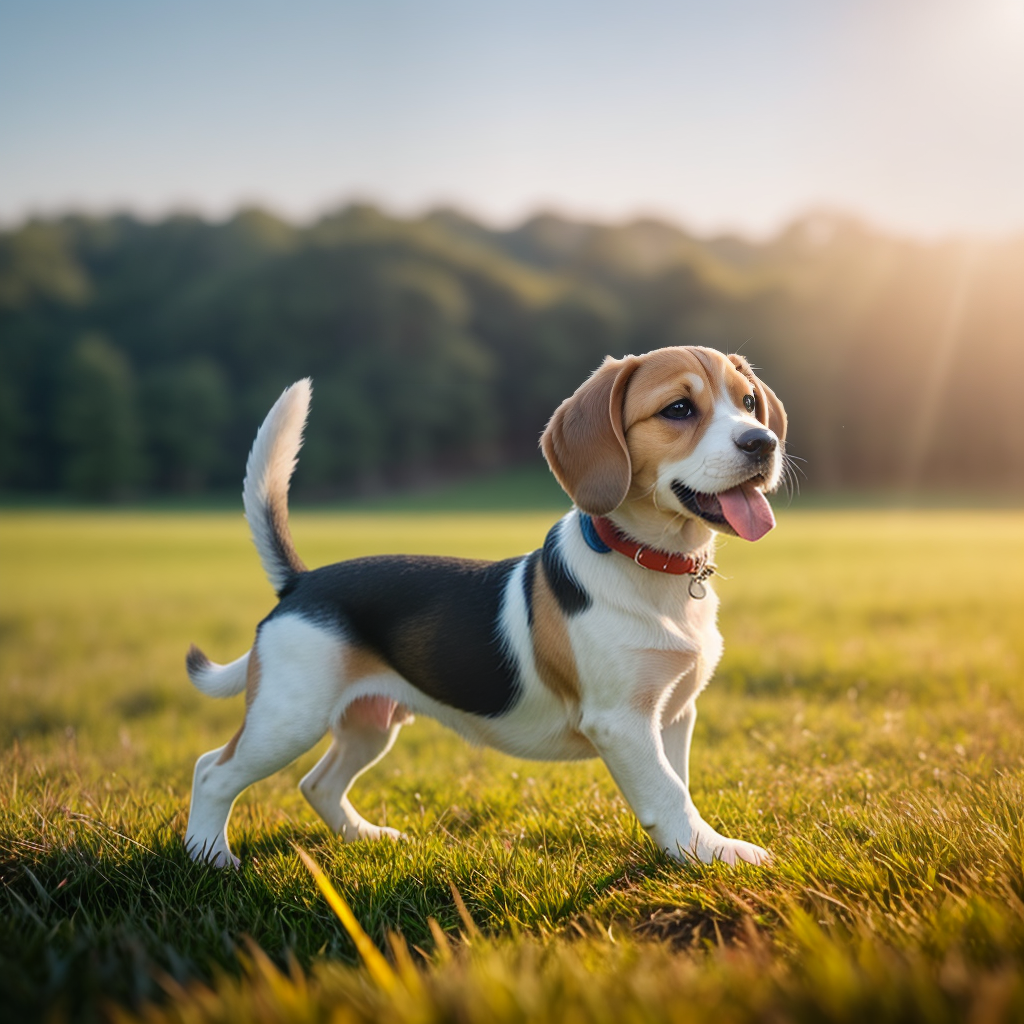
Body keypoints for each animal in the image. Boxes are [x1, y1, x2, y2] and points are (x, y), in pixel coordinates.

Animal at [184, 344, 782, 864]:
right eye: (678, 409)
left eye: (748, 402)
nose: (763, 442)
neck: (654, 564)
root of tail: (301, 584)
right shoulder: (622, 721)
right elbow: (667, 792)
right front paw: (715, 855)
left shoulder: (675, 712)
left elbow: (676, 783)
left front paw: (688, 854)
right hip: (288, 717)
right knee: (212, 771)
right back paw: (209, 857)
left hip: (369, 722)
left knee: (318, 783)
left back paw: (366, 838)